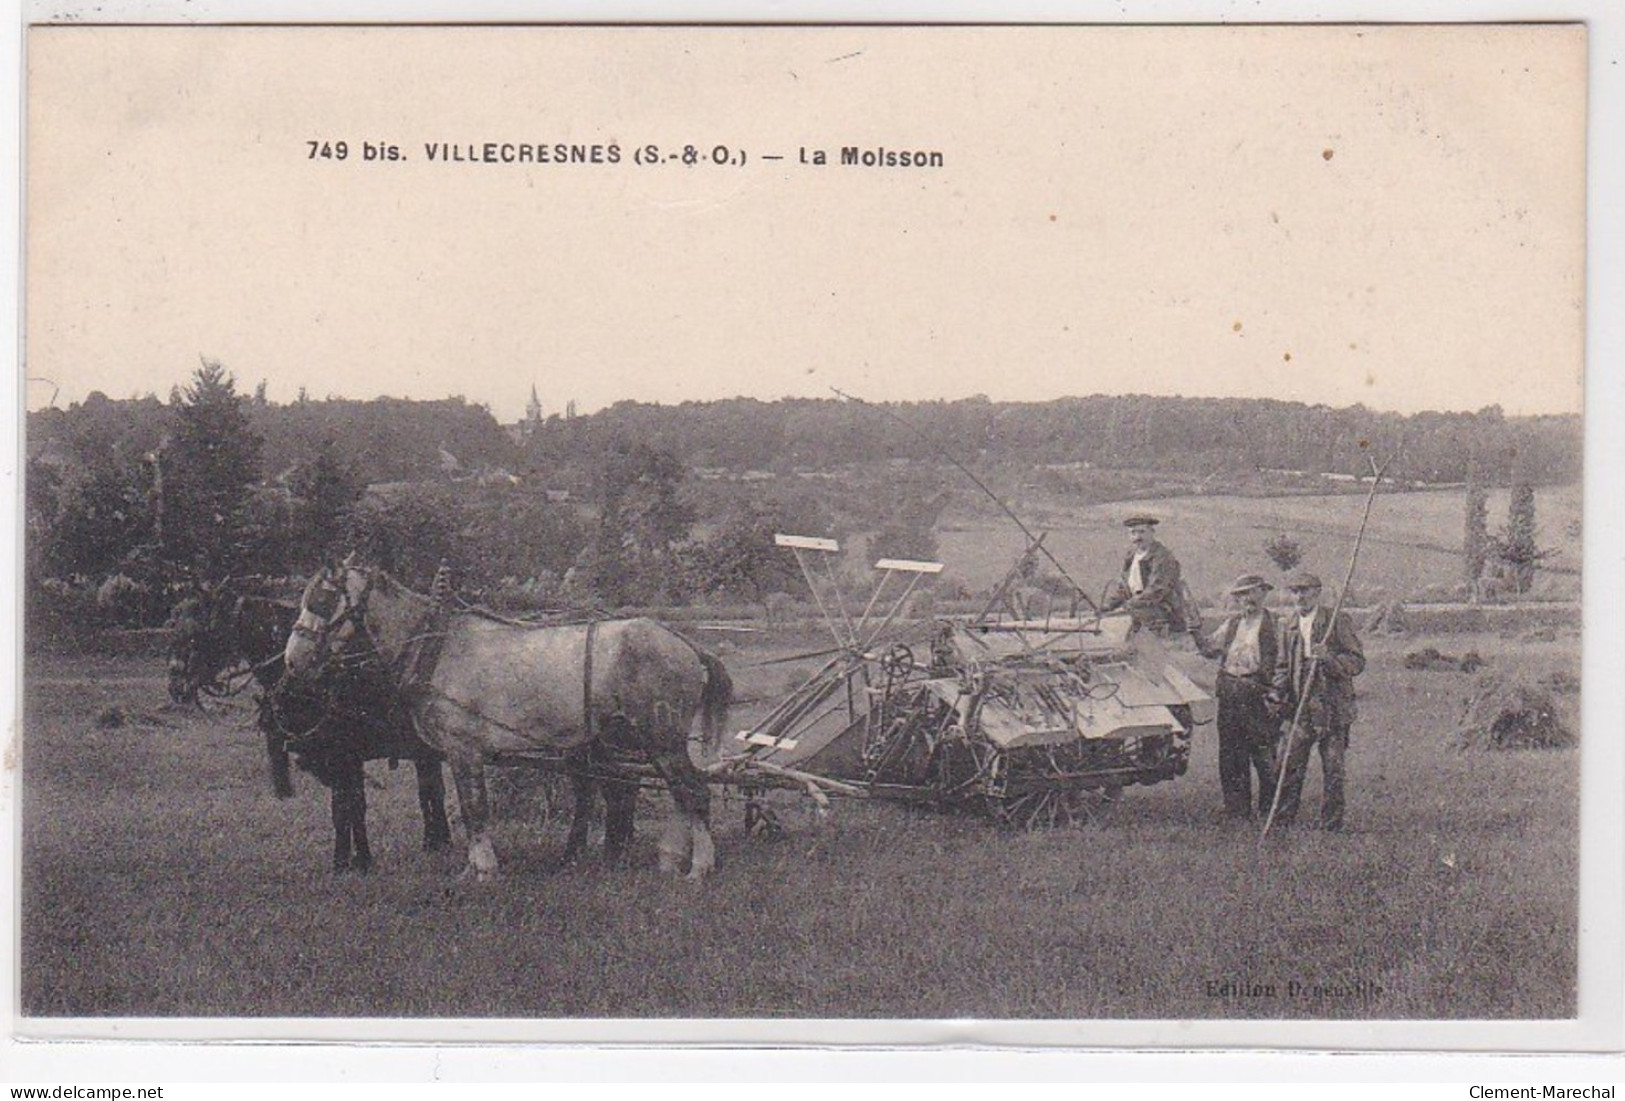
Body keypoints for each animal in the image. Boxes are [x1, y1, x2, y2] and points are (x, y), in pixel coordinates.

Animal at [166, 581, 451, 876]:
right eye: (172, 627)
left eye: (197, 633)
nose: (176, 685)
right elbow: (346, 808)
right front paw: (350, 859)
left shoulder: (345, 755)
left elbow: (349, 807)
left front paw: (353, 862)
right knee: (430, 788)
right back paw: (435, 841)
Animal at [282, 565, 734, 883]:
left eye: (323, 601)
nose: (293, 659)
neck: (436, 647)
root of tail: (685, 644)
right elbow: (469, 809)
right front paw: (472, 867)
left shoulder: (464, 748)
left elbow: (474, 808)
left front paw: (484, 869)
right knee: (668, 793)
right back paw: (670, 858)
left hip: (662, 739)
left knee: (693, 792)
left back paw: (699, 867)